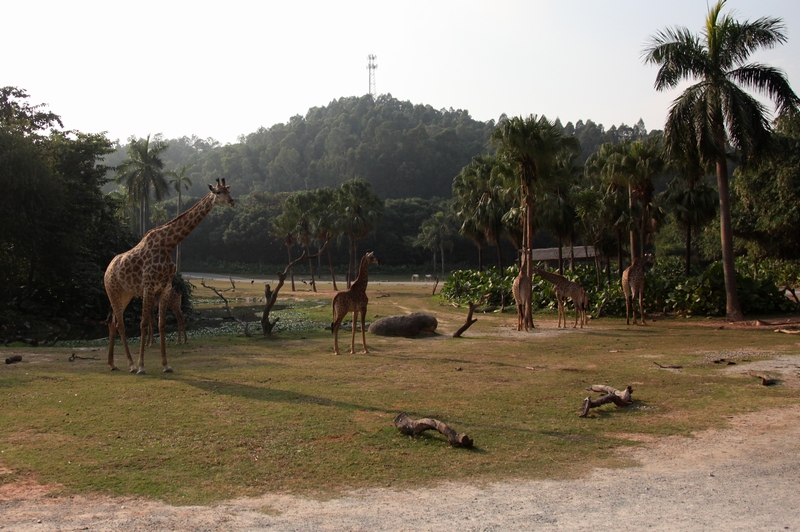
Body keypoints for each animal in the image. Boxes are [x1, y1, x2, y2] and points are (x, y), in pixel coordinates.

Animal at [104, 178, 234, 374]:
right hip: (112, 291)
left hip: (125, 294)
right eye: (218, 192)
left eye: (228, 190)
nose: (232, 202)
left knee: (113, 323)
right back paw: (131, 364)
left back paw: (113, 363)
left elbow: (161, 325)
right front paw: (142, 366)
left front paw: (166, 364)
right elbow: (144, 323)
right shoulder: (149, 286)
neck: (168, 245)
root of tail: (107, 270)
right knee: (120, 324)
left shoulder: (164, 287)